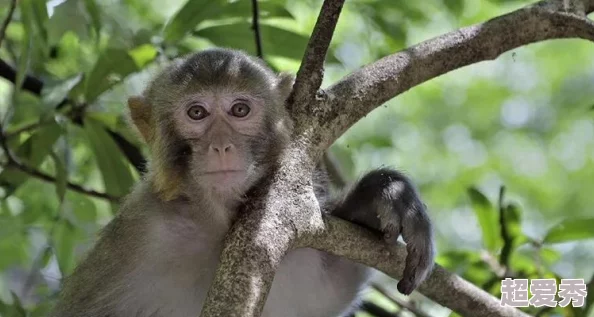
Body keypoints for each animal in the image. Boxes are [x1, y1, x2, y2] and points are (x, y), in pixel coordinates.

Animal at [48, 47, 432, 316]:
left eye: (240, 110)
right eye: (197, 113)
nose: (221, 146)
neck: (216, 223)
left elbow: (326, 294)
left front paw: (377, 198)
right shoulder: (139, 232)